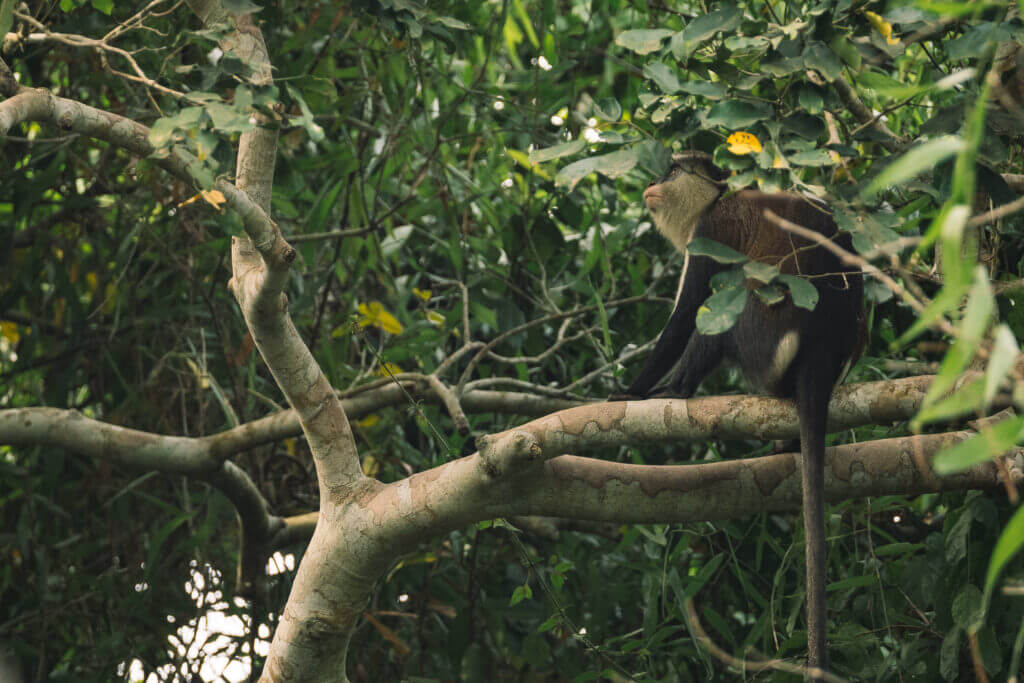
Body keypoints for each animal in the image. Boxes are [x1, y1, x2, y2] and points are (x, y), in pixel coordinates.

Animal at [610, 151, 866, 675]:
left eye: (673, 171)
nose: (654, 181)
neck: (718, 197)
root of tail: (825, 348)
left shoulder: (711, 232)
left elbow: (688, 314)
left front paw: (631, 391)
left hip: (764, 338)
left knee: (726, 307)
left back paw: (677, 388)